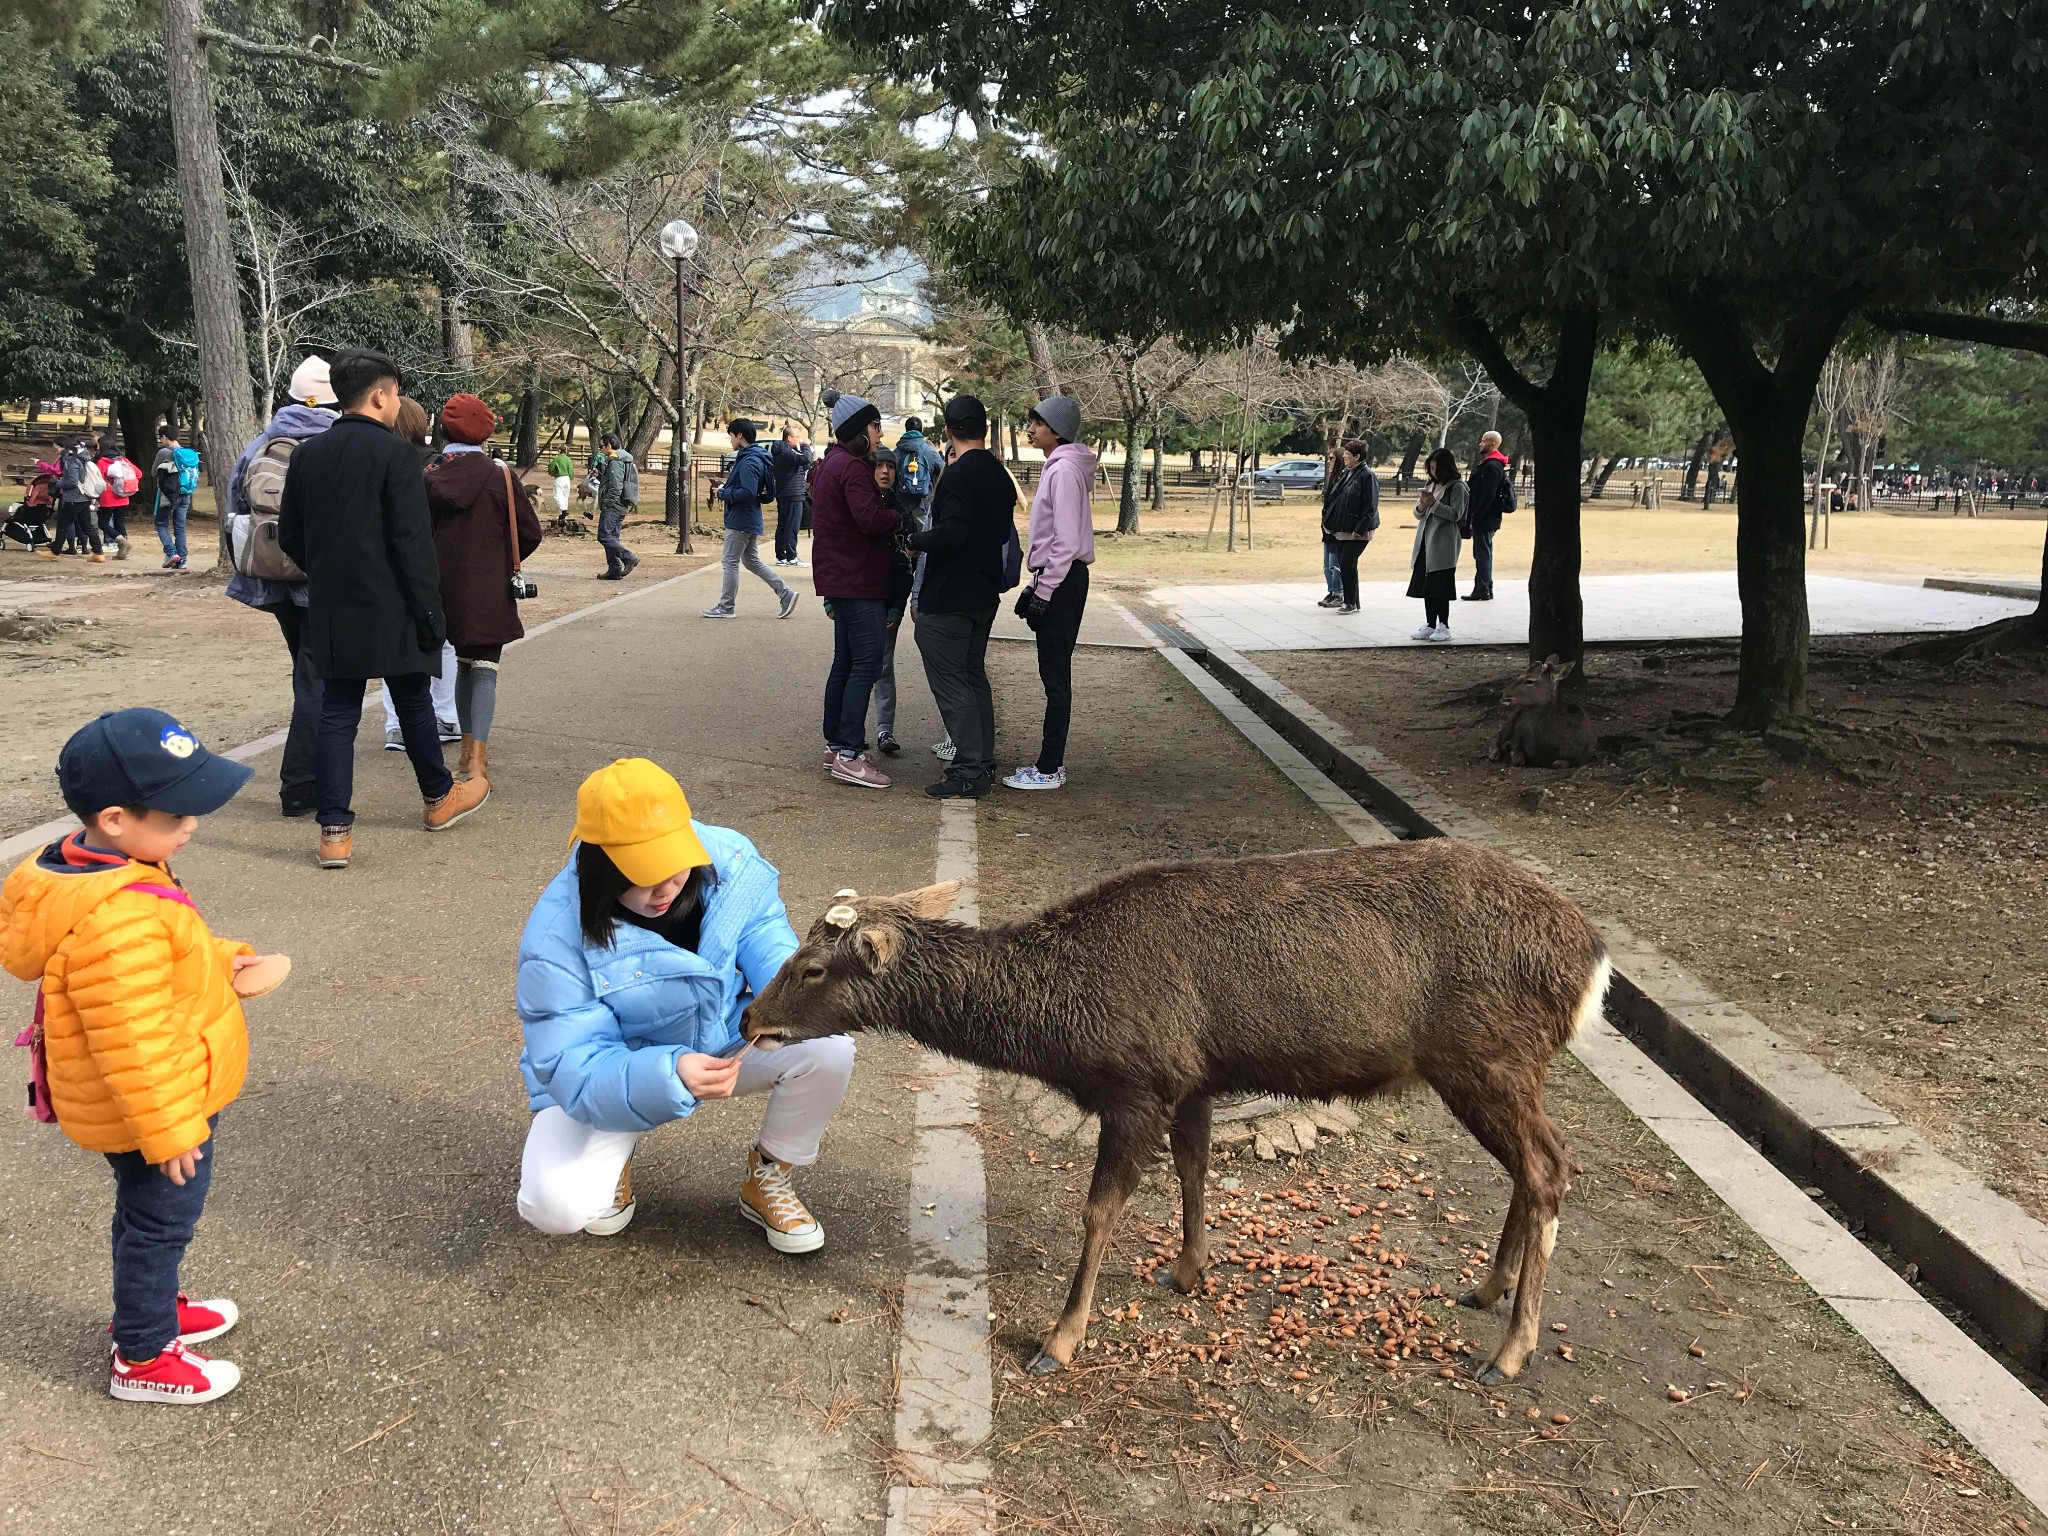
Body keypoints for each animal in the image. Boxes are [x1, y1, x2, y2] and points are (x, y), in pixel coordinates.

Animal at [741, 835, 1613, 1392]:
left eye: (812, 967)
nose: (750, 1017)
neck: (1063, 1024)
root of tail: (1590, 961)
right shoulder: (1194, 1078)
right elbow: (1195, 1167)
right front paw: (1190, 1270)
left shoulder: (1139, 1084)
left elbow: (1100, 1209)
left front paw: (1060, 1339)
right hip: (1501, 1066)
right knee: (1543, 1160)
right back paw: (1487, 1288)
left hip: (1486, 1056)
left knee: (1550, 1165)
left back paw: (1509, 1352)